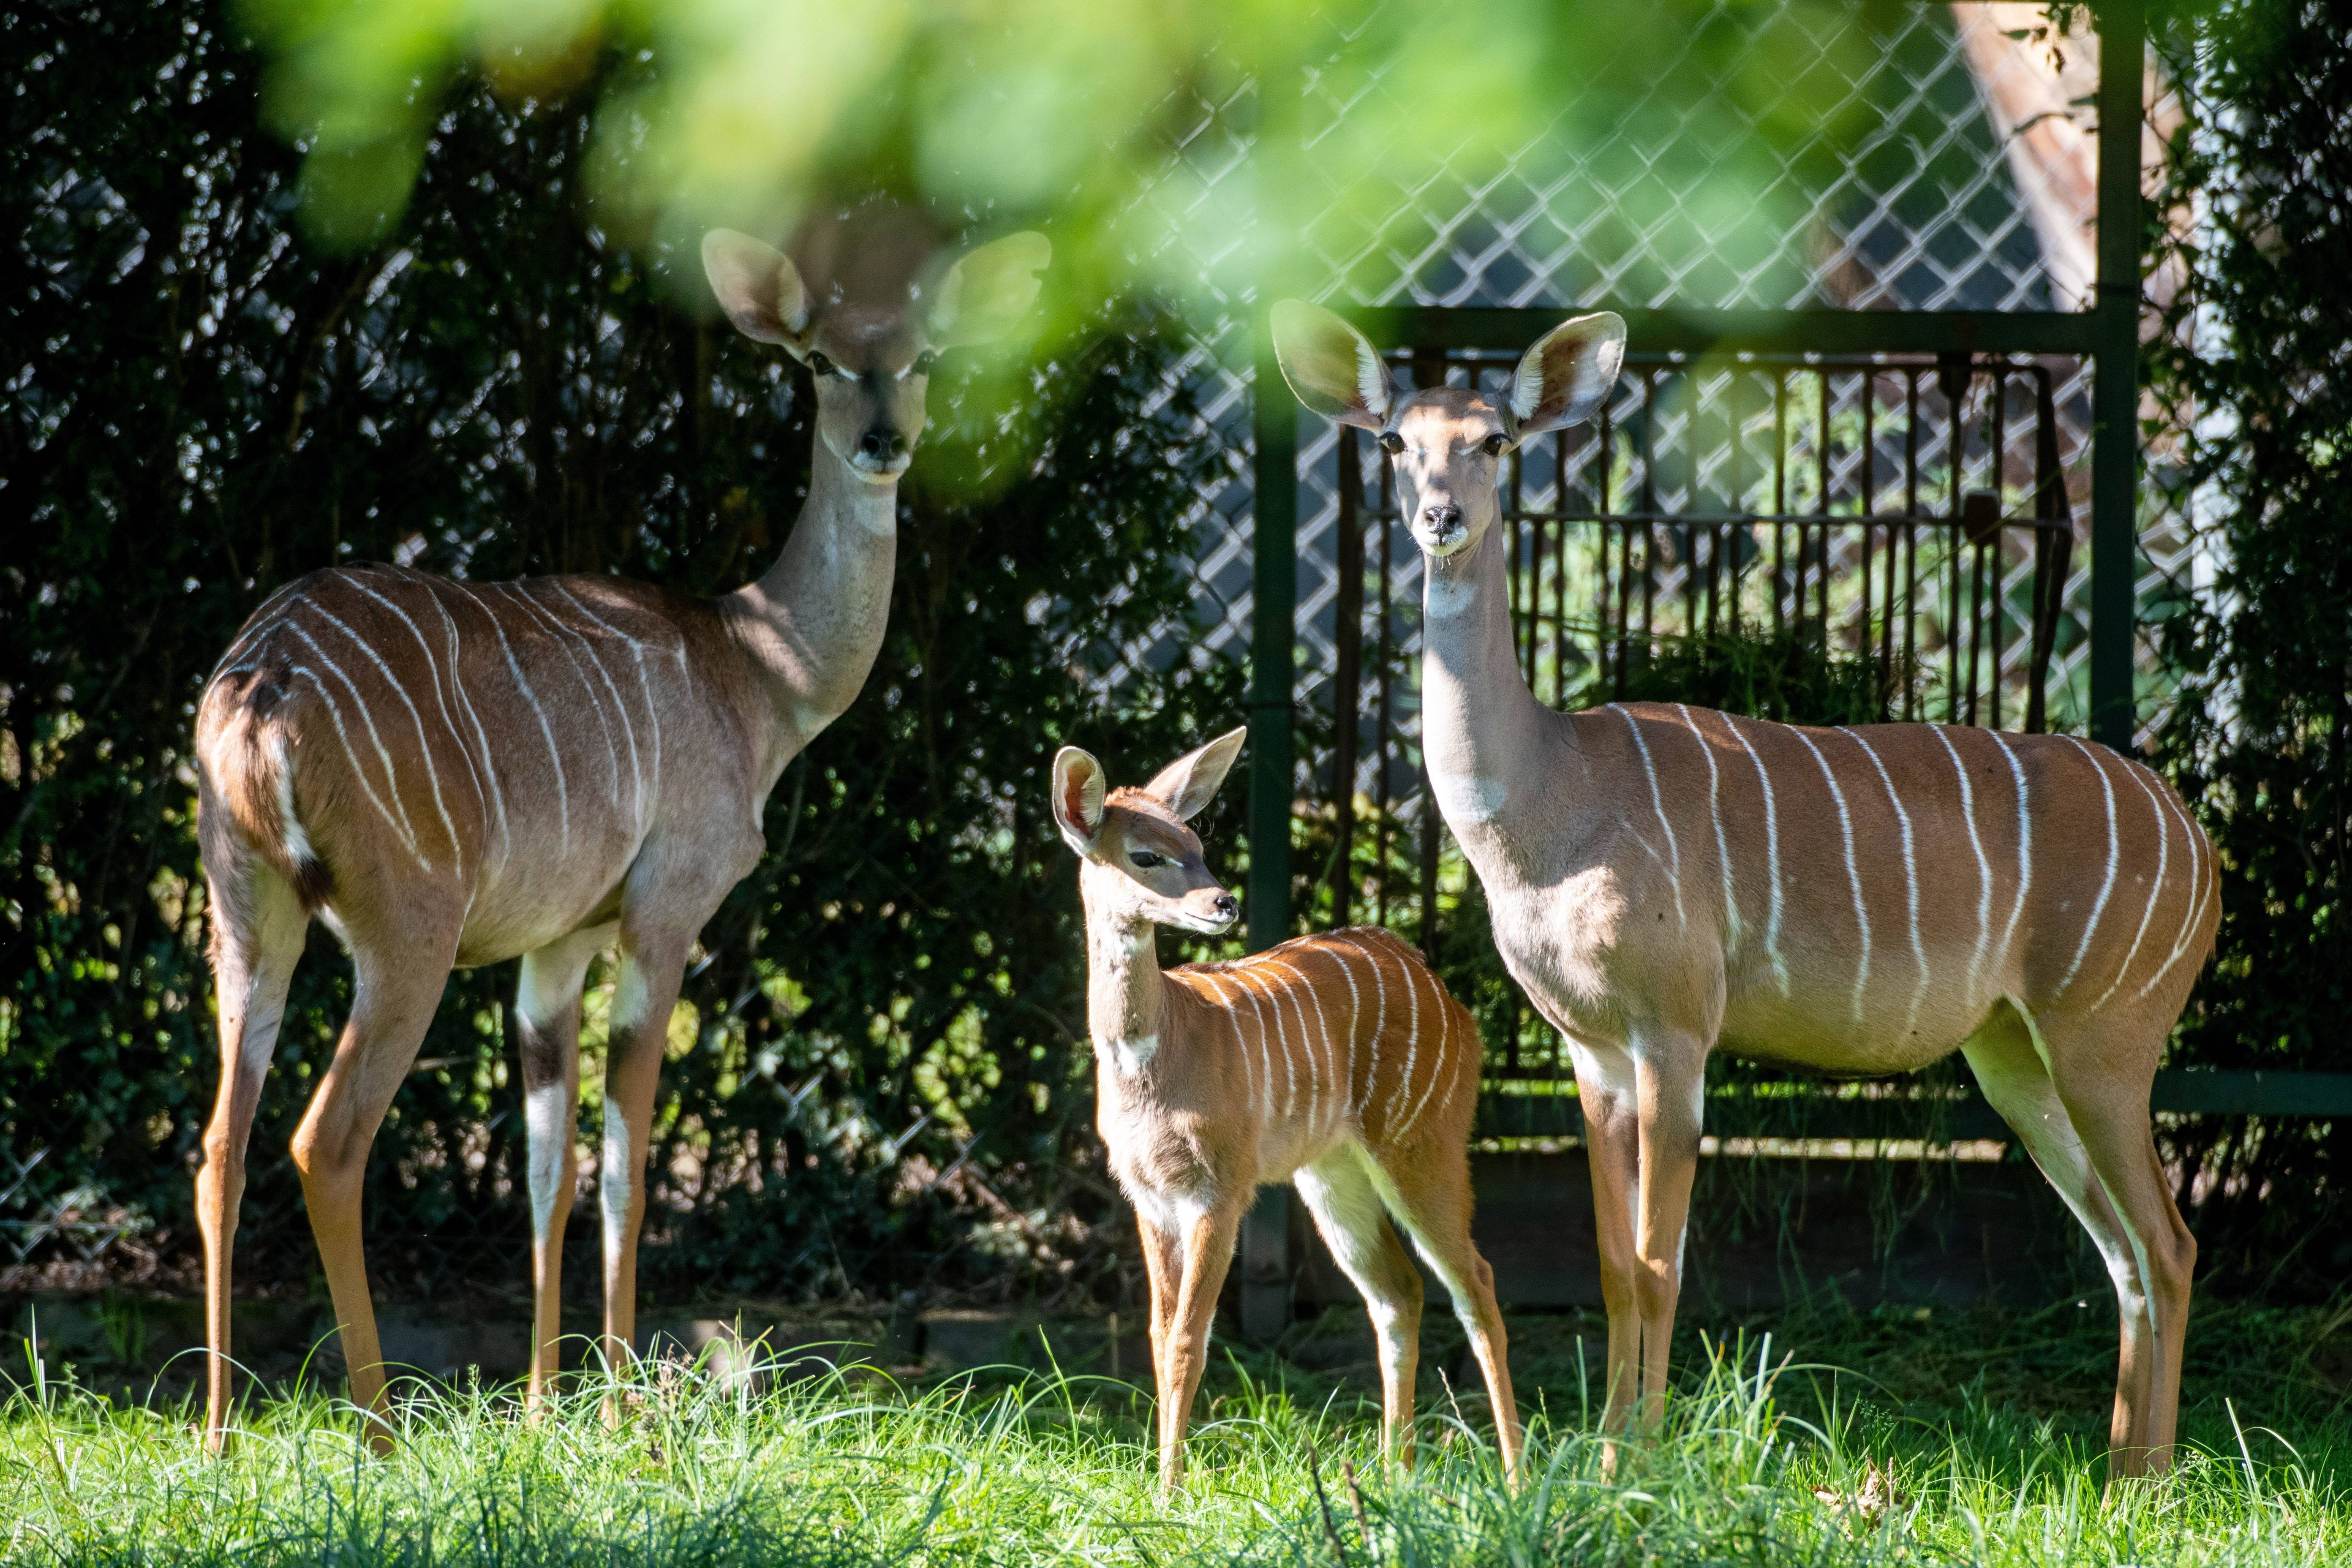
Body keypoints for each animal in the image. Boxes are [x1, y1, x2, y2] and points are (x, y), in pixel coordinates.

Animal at [188, 217, 1054, 1448]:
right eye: (820, 361)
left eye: (923, 355)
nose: (884, 441)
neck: (757, 668)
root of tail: (265, 684)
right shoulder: (662, 914)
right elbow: (624, 1169)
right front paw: (615, 1416)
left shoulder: (559, 944)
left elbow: (547, 1168)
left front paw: (542, 1410)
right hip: (405, 933)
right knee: (328, 1142)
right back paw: (378, 1428)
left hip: (246, 914)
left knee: (222, 1141)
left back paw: (218, 1432)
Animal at [1049, 729, 1524, 1495]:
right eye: (1145, 854)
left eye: (1196, 840)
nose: (1223, 901)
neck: (1156, 1056)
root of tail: (1453, 1003)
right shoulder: (1149, 1196)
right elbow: (1156, 1334)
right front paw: (1162, 1483)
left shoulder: (1223, 1187)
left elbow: (1189, 1337)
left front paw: (1168, 1492)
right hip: (1333, 1173)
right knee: (1398, 1290)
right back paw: (1392, 1476)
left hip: (1423, 1143)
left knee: (1473, 1280)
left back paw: (1514, 1477)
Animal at [1279, 301, 2210, 1476]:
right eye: (1398, 441)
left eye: (1494, 439)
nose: (1441, 516)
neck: (1548, 801)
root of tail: (2200, 842)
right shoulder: (1592, 1048)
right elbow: (1611, 1264)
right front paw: (1607, 1454)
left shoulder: (1677, 1029)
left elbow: (1658, 1263)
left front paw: (1637, 1464)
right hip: (2014, 1056)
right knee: (2124, 1250)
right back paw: (2121, 1471)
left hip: (2107, 1040)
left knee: (2170, 1242)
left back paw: (2152, 1483)